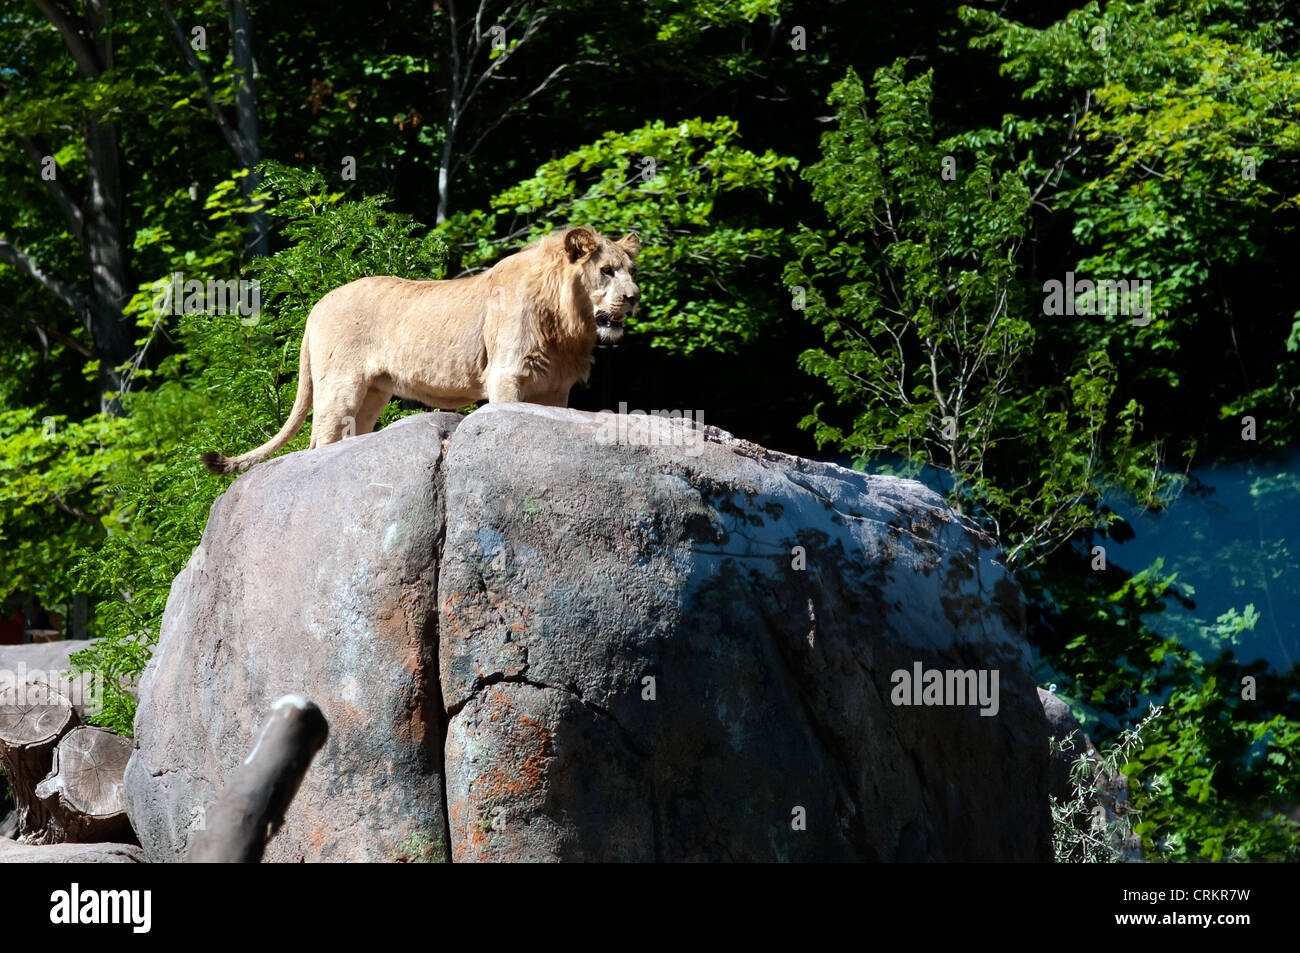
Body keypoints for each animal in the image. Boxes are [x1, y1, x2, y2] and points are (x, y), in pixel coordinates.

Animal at [201, 226, 641, 474]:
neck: (569, 323)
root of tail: (317, 306)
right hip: (340, 385)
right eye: (606, 271)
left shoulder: (555, 388)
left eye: (631, 272)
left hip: (373, 393)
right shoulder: (507, 372)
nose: (634, 297)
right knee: (318, 440)